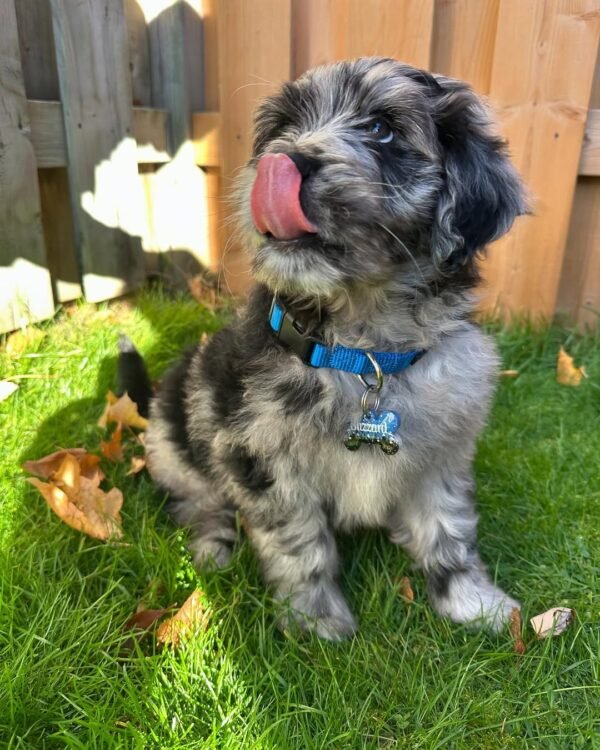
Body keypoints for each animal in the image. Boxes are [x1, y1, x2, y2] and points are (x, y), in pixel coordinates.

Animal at [125, 57, 524, 640]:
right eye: (283, 127)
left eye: (381, 128)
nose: (283, 162)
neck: (362, 351)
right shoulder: (263, 461)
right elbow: (299, 544)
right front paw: (316, 623)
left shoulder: (442, 455)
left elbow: (448, 529)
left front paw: (474, 602)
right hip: (173, 441)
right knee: (197, 499)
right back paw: (213, 544)